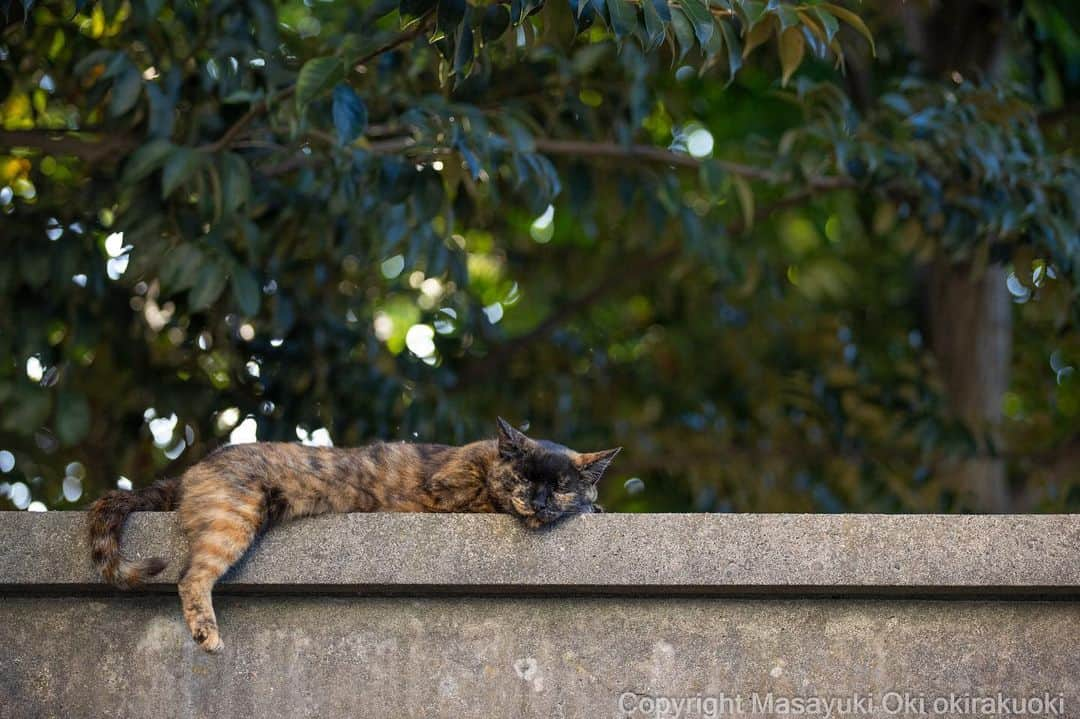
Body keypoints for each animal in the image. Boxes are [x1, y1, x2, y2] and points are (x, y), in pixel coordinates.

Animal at [88, 416, 622, 652]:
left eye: (559, 486)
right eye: (524, 478)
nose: (540, 502)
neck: (486, 459)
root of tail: (189, 472)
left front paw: (591, 505)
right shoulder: (449, 494)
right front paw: (592, 508)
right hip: (233, 520)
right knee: (191, 576)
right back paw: (207, 633)